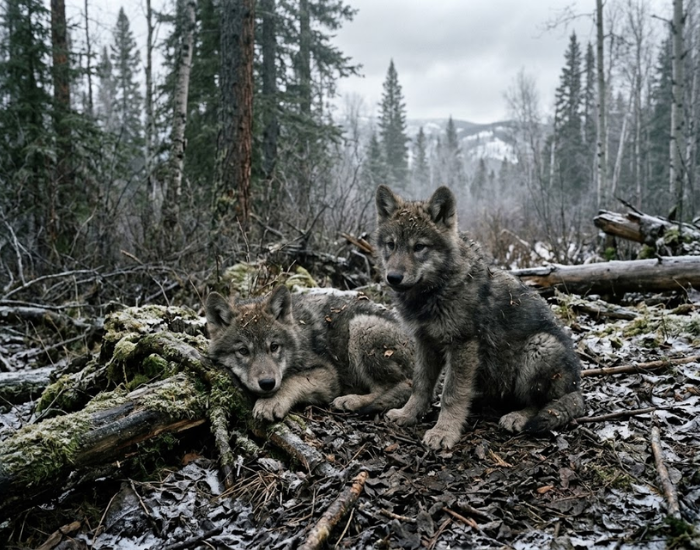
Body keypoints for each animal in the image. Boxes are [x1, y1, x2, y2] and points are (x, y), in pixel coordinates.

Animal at [205, 285, 414, 422]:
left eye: (274, 347)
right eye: (243, 351)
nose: (267, 383)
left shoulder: (329, 374)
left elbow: (291, 380)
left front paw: (270, 403)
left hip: (360, 326)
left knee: (396, 386)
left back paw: (350, 401)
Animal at [375, 185, 585, 451]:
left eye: (419, 247)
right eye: (391, 245)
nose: (393, 277)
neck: (437, 290)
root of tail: (577, 387)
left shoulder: (463, 345)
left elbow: (451, 394)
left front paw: (444, 431)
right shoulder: (425, 343)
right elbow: (420, 385)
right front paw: (408, 414)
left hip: (539, 347)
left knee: (540, 404)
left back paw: (517, 417)